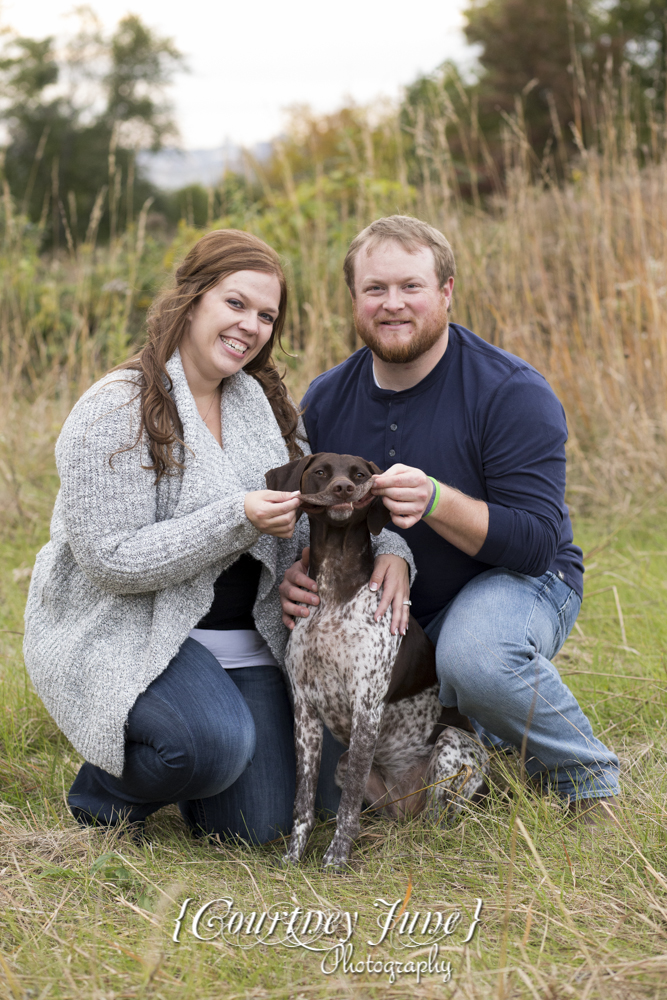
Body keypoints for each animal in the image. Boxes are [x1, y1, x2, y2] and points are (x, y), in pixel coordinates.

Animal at [266, 454, 490, 868]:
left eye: (360, 474)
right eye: (320, 471)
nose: (343, 489)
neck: (334, 591)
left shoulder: (366, 708)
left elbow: (349, 804)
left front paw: (336, 859)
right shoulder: (305, 712)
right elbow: (303, 800)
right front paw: (293, 856)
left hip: (451, 747)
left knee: (435, 822)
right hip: (353, 771)